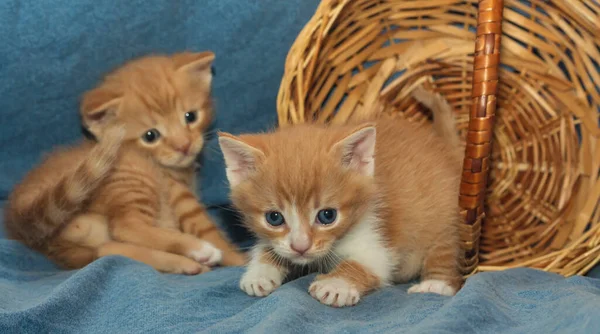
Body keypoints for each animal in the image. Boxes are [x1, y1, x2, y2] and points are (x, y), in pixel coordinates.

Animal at [4, 51, 244, 272]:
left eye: (191, 116)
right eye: (150, 136)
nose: (184, 146)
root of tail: (19, 214)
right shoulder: (176, 192)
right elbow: (203, 225)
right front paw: (238, 259)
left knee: (107, 250)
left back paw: (188, 264)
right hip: (134, 176)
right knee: (126, 227)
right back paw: (200, 251)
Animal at [218, 89, 462, 308]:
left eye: (328, 215)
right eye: (274, 218)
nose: (301, 247)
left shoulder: (377, 237)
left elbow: (368, 263)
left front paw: (336, 285)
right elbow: (271, 247)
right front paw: (259, 271)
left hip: (442, 215)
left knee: (445, 248)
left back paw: (435, 284)